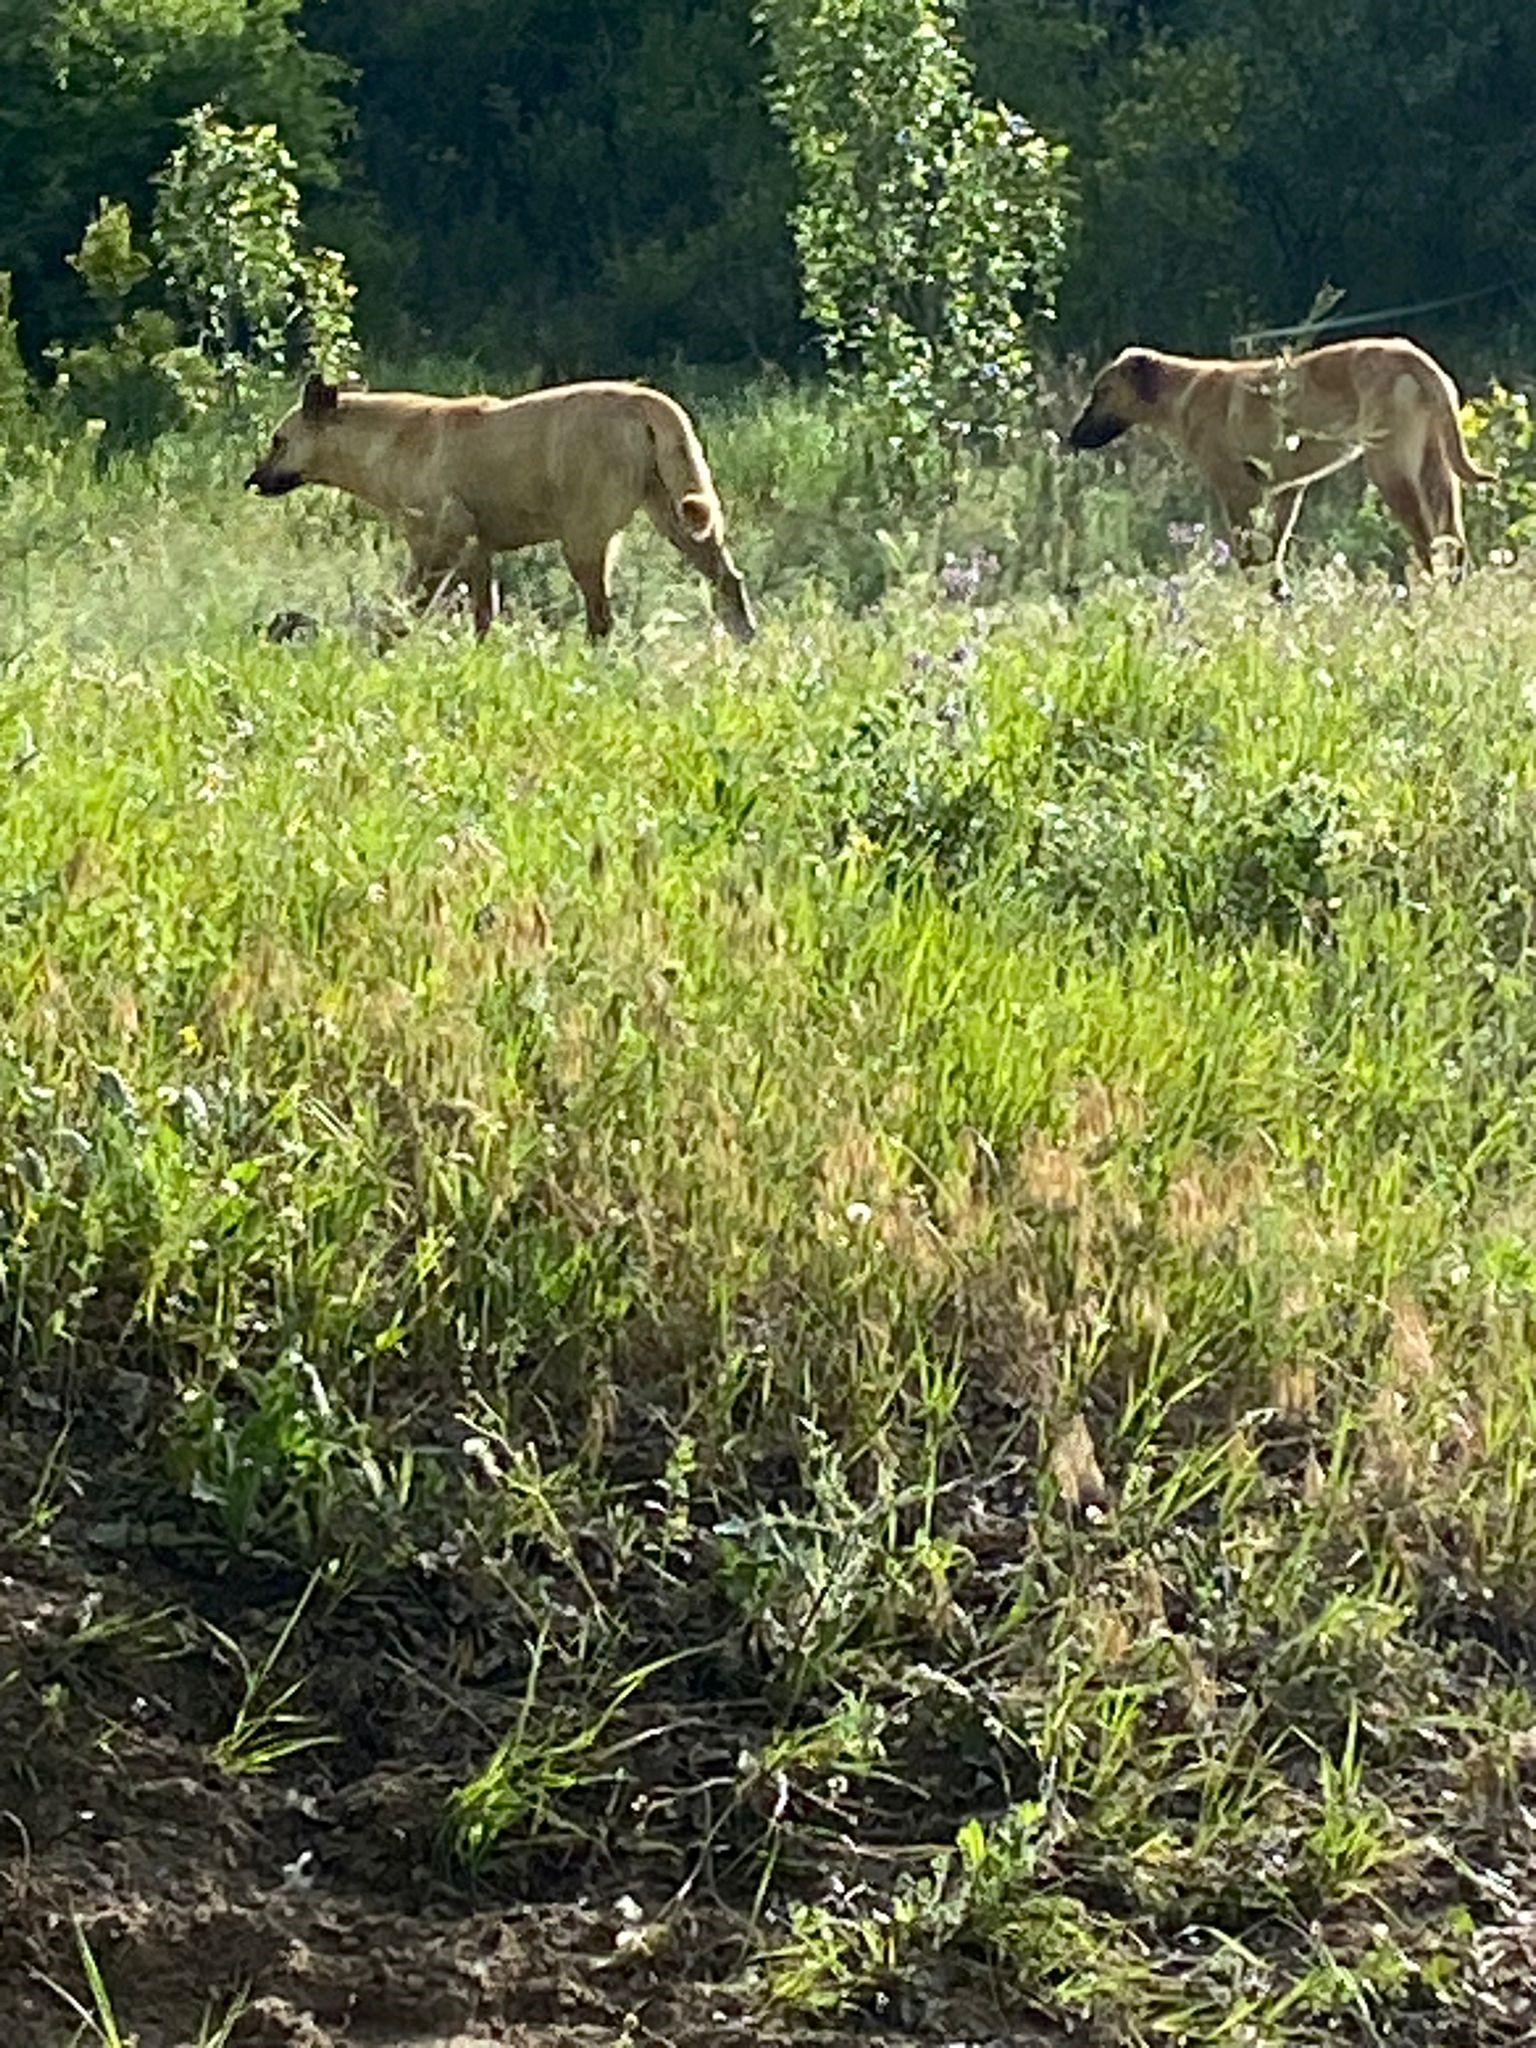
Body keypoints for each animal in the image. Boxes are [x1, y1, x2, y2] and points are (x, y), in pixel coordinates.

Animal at [243, 374, 761, 638]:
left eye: (278, 440)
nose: (251, 481)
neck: (385, 443)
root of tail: (647, 402)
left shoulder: (438, 543)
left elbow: (405, 604)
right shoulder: (477, 552)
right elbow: (482, 615)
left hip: (584, 539)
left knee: (601, 616)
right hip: (681, 520)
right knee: (729, 582)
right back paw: (745, 638)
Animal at [1073, 335, 1490, 593]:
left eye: (1101, 392)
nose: (1071, 437)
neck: (1181, 392)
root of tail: (1416, 359)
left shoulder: (1237, 493)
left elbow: (1247, 558)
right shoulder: (1288, 492)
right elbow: (1272, 555)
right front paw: (1279, 598)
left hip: (1391, 473)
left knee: (1429, 547)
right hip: (1437, 474)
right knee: (1453, 543)